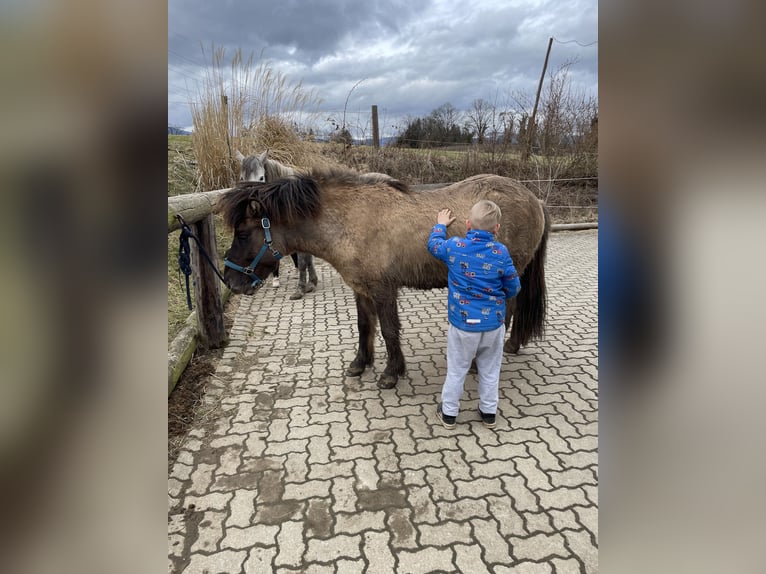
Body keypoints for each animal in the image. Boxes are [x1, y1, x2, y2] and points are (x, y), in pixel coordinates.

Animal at [220, 166, 550, 389]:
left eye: (243, 233)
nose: (230, 281)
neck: (351, 220)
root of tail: (534, 199)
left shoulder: (383, 290)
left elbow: (390, 330)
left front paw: (391, 373)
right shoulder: (361, 289)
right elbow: (365, 326)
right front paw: (360, 363)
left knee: (508, 311)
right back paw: (511, 346)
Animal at [235, 150, 318, 300]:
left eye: (261, 177)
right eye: (242, 178)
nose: (252, 205)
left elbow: (303, 261)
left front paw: (300, 289)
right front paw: (311, 283)